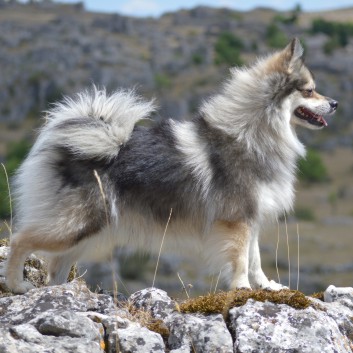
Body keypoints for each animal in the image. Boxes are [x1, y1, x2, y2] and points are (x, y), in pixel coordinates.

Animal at [4, 37, 336, 294]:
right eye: (309, 91)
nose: (334, 103)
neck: (252, 133)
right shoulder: (237, 220)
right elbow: (241, 260)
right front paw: (241, 289)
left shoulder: (250, 219)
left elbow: (255, 261)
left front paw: (266, 287)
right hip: (76, 224)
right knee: (21, 240)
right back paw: (16, 285)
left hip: (88, 231)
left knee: (56, 266)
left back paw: (60, 292)